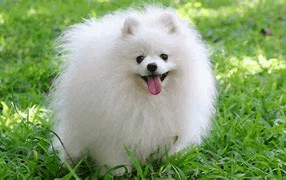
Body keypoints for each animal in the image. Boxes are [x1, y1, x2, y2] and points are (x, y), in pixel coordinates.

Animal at [51, 5, 216, 174]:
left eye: (164, 56)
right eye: (139, 58)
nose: (152, 66)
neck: (150, 100)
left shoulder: (170, 131)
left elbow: (169, 154)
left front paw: (169, 166)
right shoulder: (112, 138)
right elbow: (116, 161)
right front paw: (118, 174)